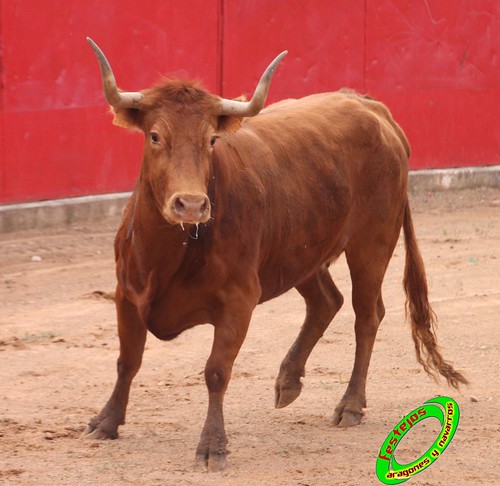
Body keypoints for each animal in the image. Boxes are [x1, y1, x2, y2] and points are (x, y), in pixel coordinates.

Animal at [84, 38, 466, 470]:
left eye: (211, 140)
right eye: (154, 136)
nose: (191, 205)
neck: (170, 252)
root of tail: (370, 107)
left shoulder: (239, 300)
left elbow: (216, 371)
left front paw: (213, 446)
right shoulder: (126, 294)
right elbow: (127, 360)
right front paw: (106, 422)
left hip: (372, 242)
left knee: (366, 316)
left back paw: (350, 405)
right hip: (300, 252)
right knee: (326, 301)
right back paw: (289, 381)